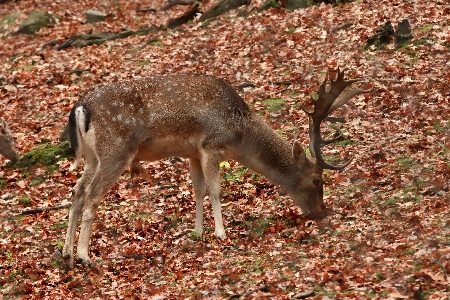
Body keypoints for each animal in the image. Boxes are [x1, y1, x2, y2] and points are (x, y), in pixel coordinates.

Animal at [64, 69, 372, 268]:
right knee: (91, 195)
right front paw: (221, 233)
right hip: (115, 151)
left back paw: (66, 252)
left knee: (77, 191)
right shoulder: (211, 144)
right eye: (317, 180)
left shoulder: (193, 151)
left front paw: (198, 232)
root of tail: (80, 108)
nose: (321, 211)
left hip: (92, 157)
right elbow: (215, 189)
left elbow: (198, 190)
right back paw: (85, 256)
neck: (238, 133)